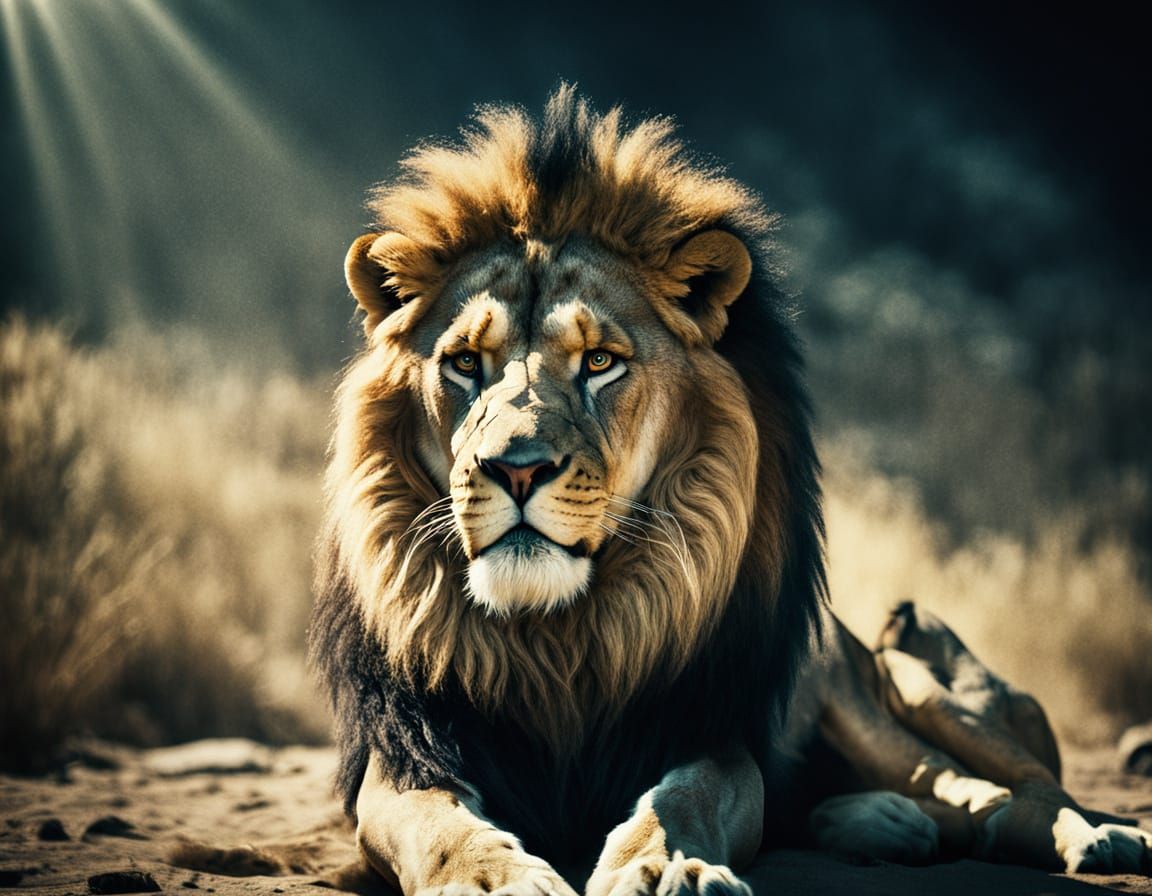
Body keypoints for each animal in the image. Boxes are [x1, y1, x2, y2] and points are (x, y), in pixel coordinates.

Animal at [309, 86, 1152, 894]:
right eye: (463, 364)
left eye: (600, 362)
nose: (515, 467)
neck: (557, 637)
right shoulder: (408, 750)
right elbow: (438, 823)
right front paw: (493, 879)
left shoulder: (710, 736)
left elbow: (681, 798)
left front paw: (663, 867)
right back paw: (884, 823)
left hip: (904, 689)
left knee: (1001, 787)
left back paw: (1089, 834)